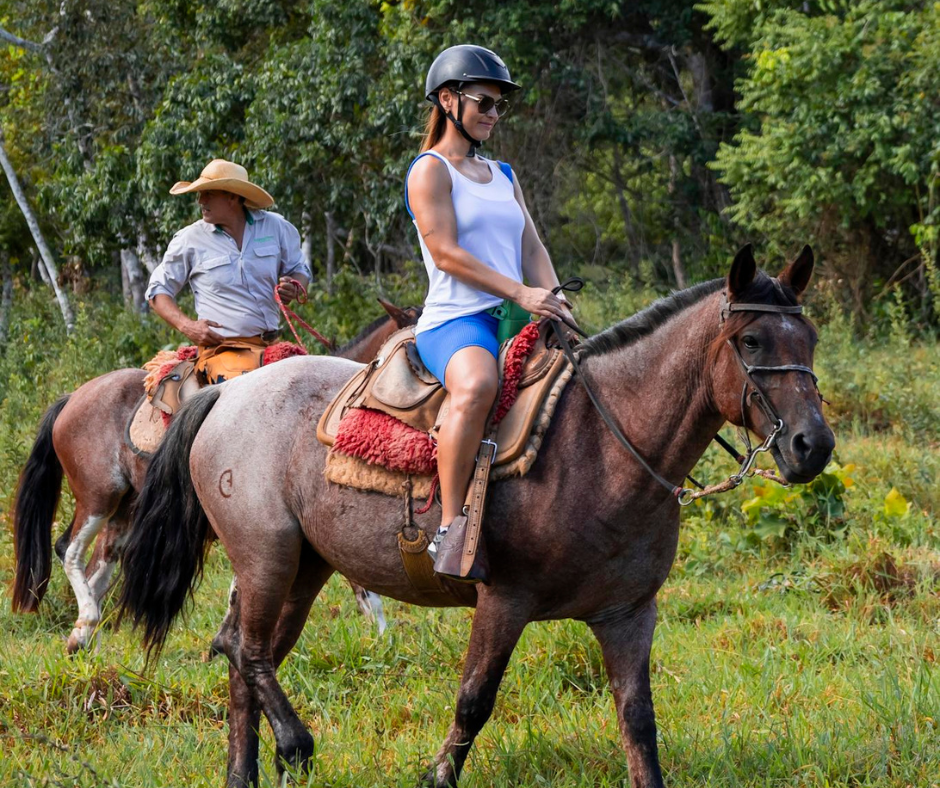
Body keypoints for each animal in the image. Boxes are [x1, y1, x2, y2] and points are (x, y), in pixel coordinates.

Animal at [11, 298, 418, 648]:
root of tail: (72, 398)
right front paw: (384, 637)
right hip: (98, 495)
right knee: (69, 549)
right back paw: (86, 623)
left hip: (127, 506)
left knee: (100, 567)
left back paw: (83, 636)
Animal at [119, 248, 836, 788]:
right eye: (750, 339)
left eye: (810, 338)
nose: (813, 445)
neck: (603, 444)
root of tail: (226, 394)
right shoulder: (504, 600)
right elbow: (473, 702)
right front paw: (436, 776)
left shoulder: (629, 613)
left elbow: (639, 721)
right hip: (265, 556)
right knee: (244, 649)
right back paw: (295, 742)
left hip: (304, 568)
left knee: (248, 654)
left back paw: (245, 773)